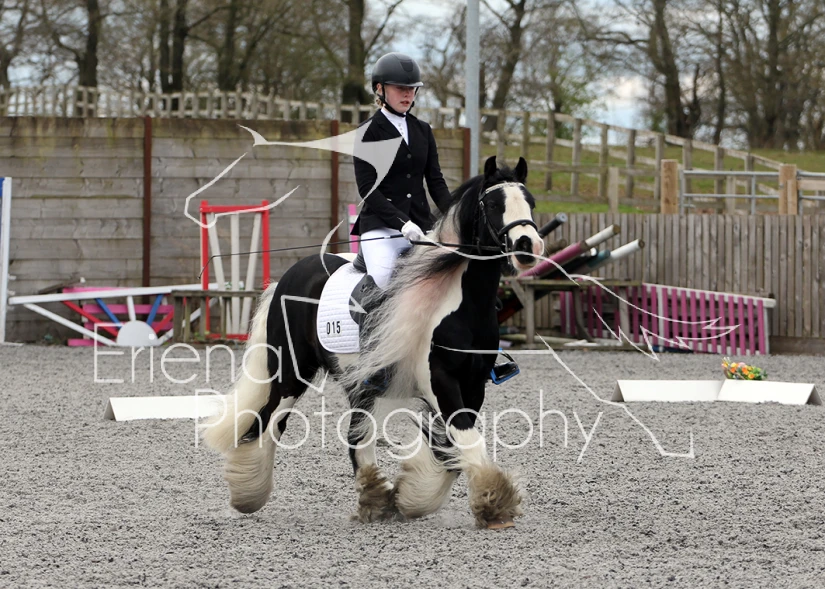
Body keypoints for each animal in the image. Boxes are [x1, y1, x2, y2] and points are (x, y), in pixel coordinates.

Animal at [201, 155, 543, 528]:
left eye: (531, 201)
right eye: (493, 204)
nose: (527, 247)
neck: (460, 301)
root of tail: (288, 277)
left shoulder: (473, 384)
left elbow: (448, 448)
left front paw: (415, 497)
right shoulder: (440, 381)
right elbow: (465, 440)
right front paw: (493, 503)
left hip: (359, 384)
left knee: (356, 437)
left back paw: (375, 498)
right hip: (290, 374)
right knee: (270, 422)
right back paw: (249, 493)